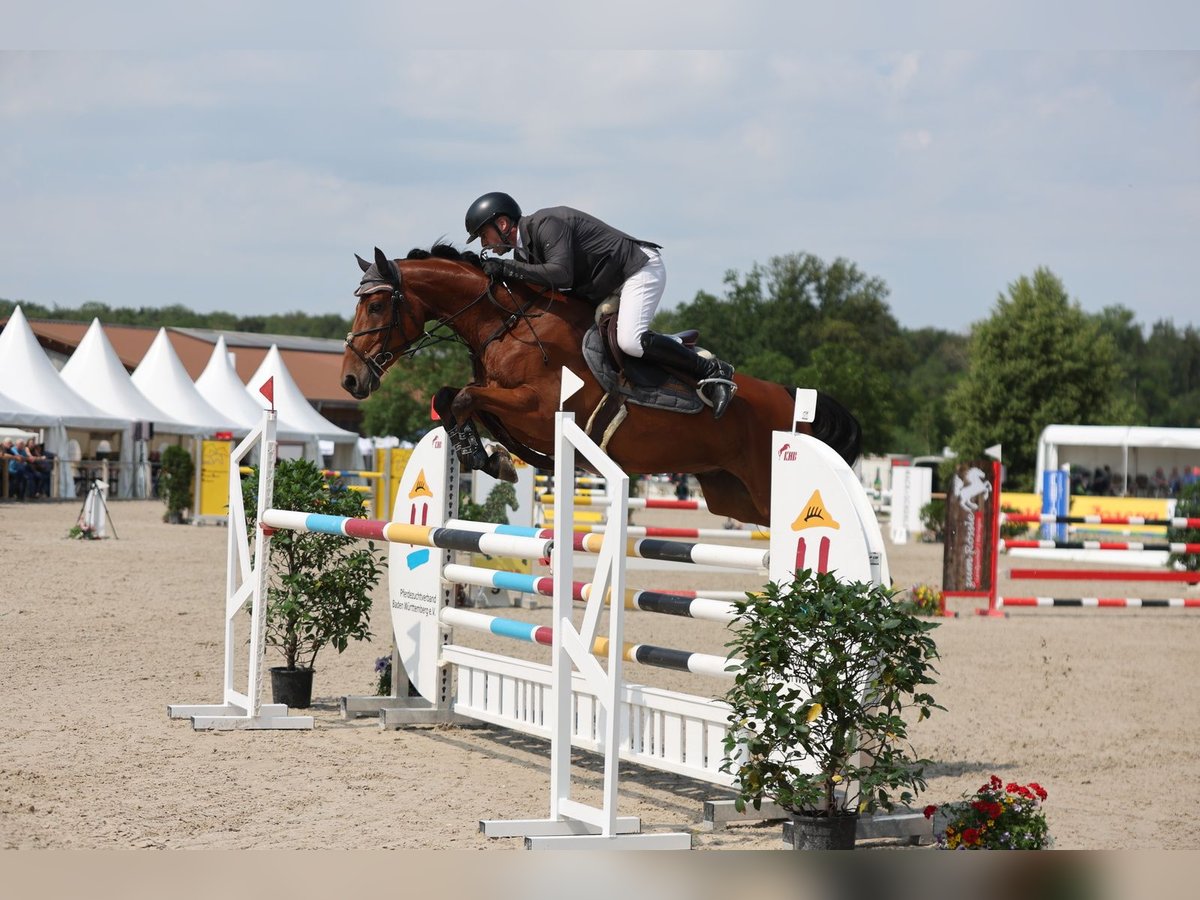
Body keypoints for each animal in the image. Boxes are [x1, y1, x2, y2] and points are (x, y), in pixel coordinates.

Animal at [343, 247, 859, 528]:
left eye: (376, 306)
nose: (350, 379)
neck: (506, 323)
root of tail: (788, 397)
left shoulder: (539, 409)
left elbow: (466, 397)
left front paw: (490, 459)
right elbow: (450, 398)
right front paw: (487, 456)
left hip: (765, 485)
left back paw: (719, 383)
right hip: (732, 494)